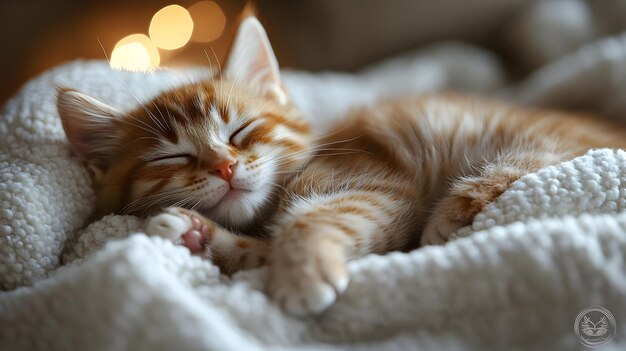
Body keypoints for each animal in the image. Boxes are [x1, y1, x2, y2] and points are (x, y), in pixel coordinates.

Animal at [56, 15, 624, 316]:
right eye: (172, 156)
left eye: (240, 132)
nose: (224, 168)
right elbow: (260, 251)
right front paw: (197, 235)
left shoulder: (379, 190)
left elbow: (310, 219)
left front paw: (302, 274)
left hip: (533, 144)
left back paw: (449, 221)